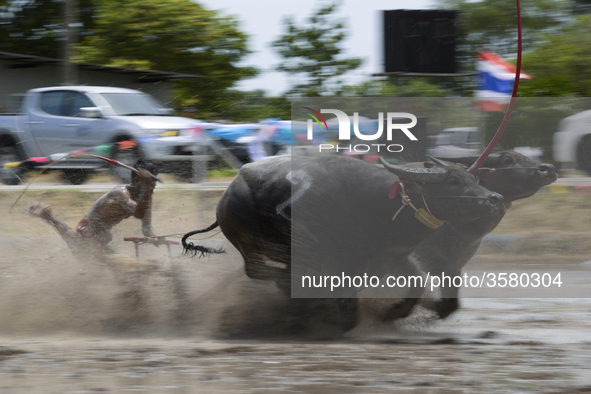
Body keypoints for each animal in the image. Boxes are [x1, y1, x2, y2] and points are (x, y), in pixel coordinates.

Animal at [183, 155, 506, 330]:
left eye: (472, 178)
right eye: (452, 182)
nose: (495, 198)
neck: (377, 205)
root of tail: (227, 194)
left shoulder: (392, 257)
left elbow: (416, 285)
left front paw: (393, 312)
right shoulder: (338, 262)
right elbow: (348, 311)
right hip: (249, 243)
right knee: (257, 270)